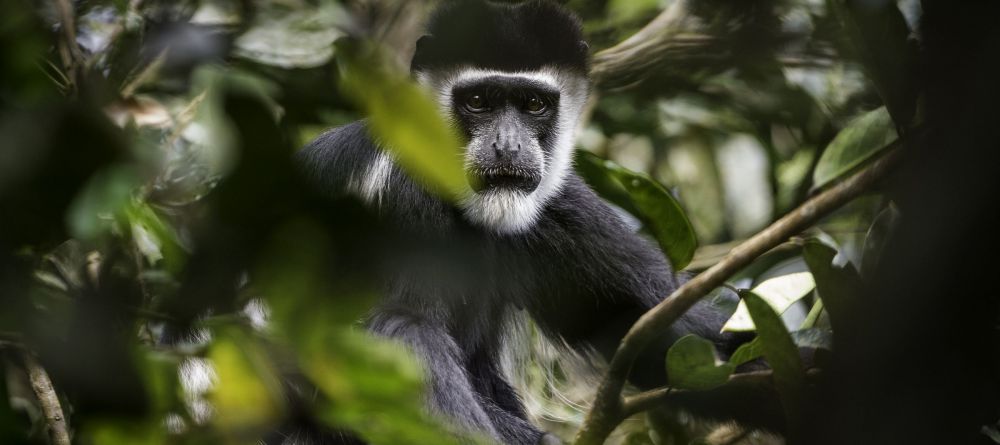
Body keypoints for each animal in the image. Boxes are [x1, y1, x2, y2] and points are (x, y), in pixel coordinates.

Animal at [292, 0, 752, 444]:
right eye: (479, 101)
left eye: (534, 104)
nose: (507, 146)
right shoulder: (405, 195)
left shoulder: (561, 205)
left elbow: (679, 336)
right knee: (403, 329)